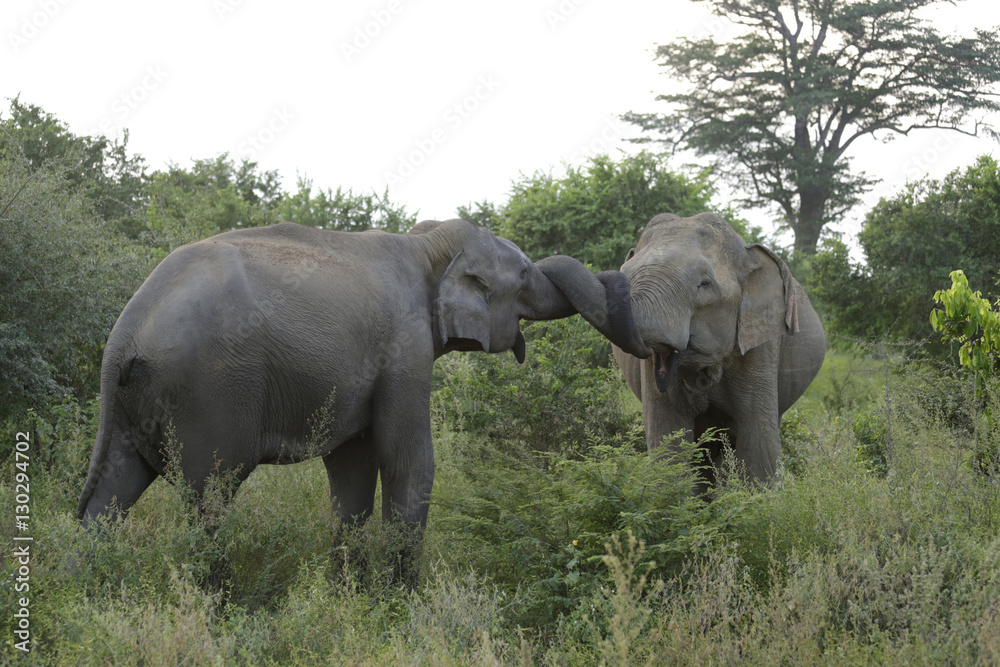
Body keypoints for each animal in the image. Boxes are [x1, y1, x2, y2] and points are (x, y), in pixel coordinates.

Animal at [77, 219, 651, 546]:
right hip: (209, 391)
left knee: (108, 495)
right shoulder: (405, 347)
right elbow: (408, 461)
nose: (624, 270)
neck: (425, 245)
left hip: (132, 400)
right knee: (211, 498)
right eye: (527, 273)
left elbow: (351, 473)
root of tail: (124, 335)